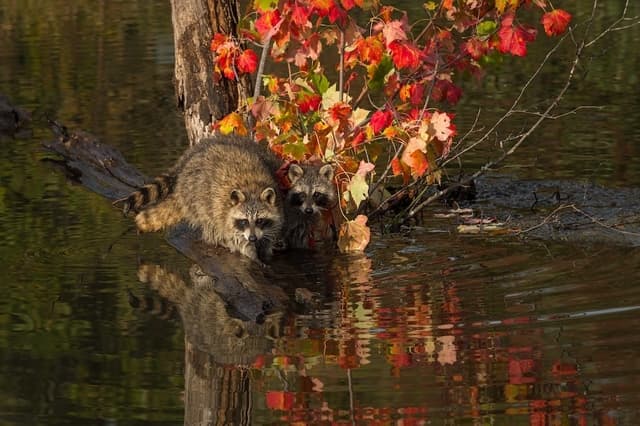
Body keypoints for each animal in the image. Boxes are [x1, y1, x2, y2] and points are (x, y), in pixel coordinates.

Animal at [115, 136, 284, 262]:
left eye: (260, 220)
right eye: (244, 221)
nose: (253, 238)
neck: (252, 189)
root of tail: (186, 161)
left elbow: (272, 230)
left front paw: (266, 248)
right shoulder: (225, 212)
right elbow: (234, 236)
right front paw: (250, 252)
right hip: (196, 194)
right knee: (208, 220)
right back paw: (217, 239)